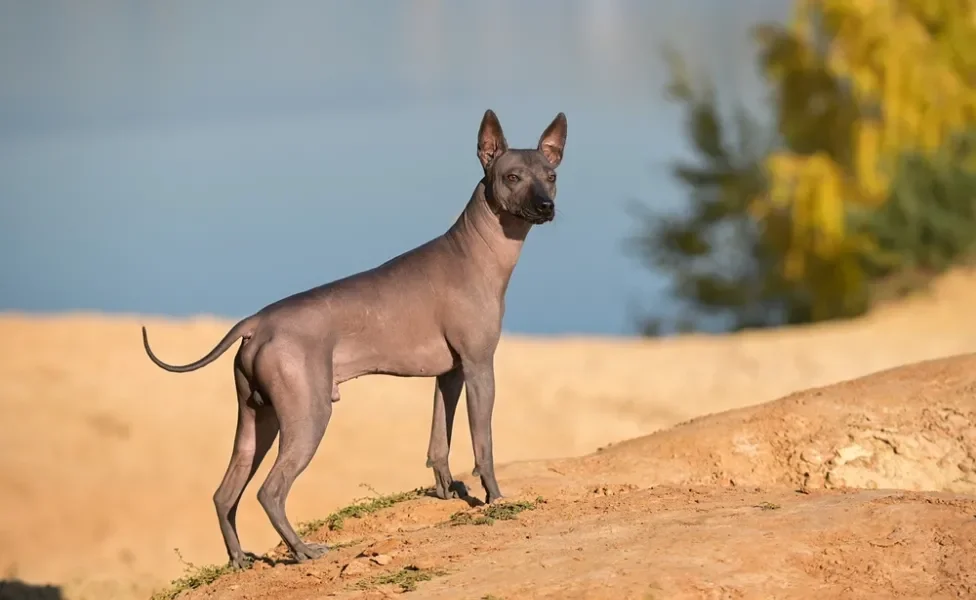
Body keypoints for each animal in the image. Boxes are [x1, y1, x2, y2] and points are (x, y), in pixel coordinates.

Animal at [141, 109, 568, 568]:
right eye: (512, 177)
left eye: (551, 176)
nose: (546, 206)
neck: (476, 251)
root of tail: (257, 321)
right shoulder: (479, 367)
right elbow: (483, 443)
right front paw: (494, 496)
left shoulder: (450, 374)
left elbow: (439, 441)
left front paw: (446, 491)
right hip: (309, 415)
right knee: (269, 492)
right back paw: (302, 550)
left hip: (257, 420)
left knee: (225, 494)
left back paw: (239, 559)